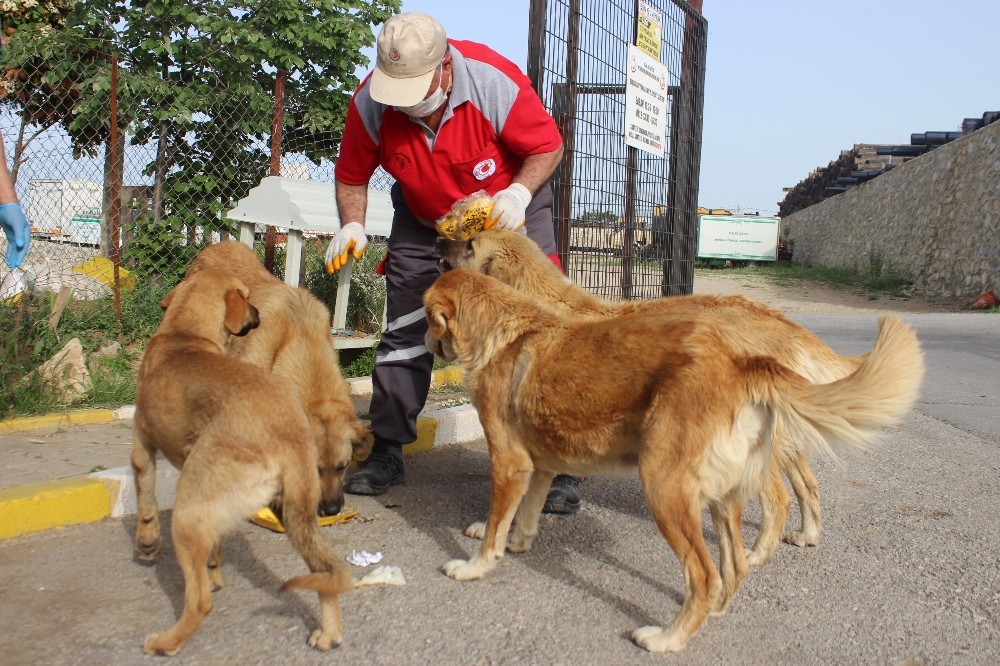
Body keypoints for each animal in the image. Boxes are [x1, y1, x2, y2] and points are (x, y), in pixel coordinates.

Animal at [131, 268, 354, 656]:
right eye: (246, 298)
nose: (257, 315)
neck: (184, 336)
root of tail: (286, 431)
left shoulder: (142, 441)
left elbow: (145, 494)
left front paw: (146, 541)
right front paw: (214, 567)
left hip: (187, 515)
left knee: (199, 603)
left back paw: (166, 642)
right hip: (295, 513)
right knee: (326, 571)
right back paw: (328, 632)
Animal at [423, 268, 924, 653]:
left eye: (428, 318)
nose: (425, 344)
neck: (503, 329)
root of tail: (742, 362)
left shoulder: (511, 465)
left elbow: (494, 529)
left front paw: (475, 565)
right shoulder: (541, 467)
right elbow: (523, 518)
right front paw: (518, 543)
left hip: (665, 490)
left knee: (705, 575)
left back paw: (668, 639)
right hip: (721, 499)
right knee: (733, 568)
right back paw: (716, 611)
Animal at [435, 229, 863, 565]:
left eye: (470, 243)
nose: (437, 237)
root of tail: (780, 322)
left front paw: (489, 529)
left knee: (779, 496)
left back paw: (756, 553)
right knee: (807, 483)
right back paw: (807, 534)